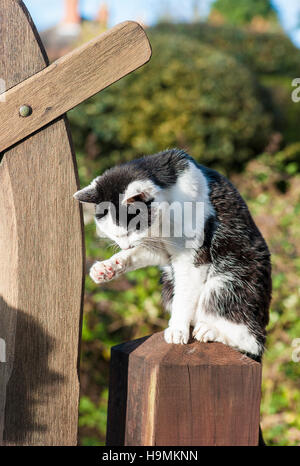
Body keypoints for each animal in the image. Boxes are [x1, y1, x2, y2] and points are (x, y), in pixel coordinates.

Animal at [74, 148, 270, 356]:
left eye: (128, 231)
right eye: (114, 235)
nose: (125, 246)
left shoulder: (192, 257)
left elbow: (184, 295)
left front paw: (177, 328)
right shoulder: (160, 249)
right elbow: (139, 253)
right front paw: (108, 266)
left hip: (229, 281)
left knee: (251, 341)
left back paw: (212, 331)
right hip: (169, 285)